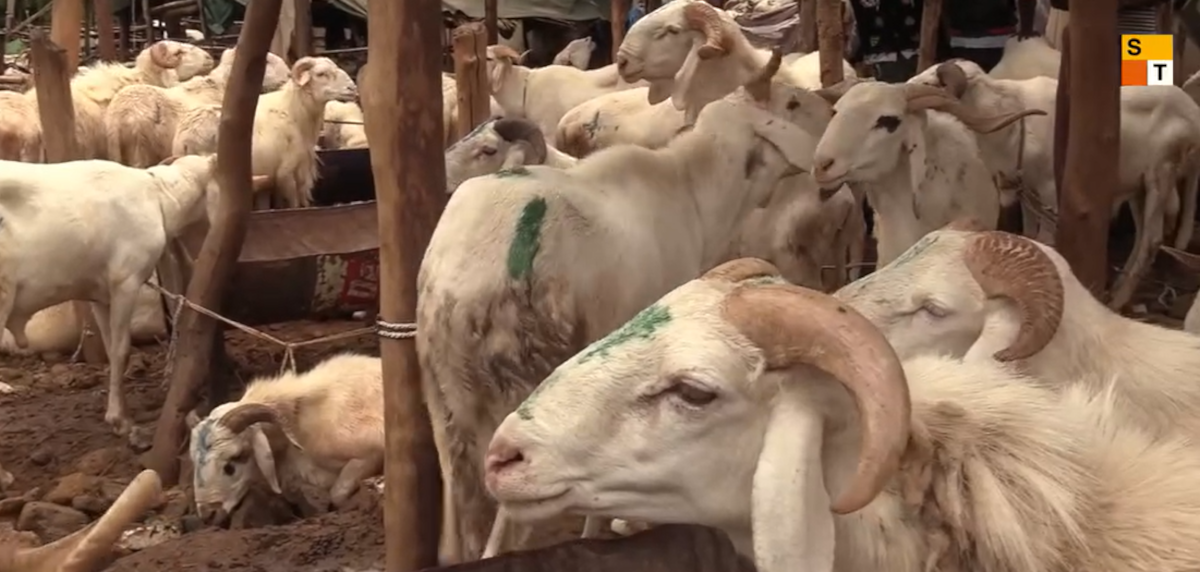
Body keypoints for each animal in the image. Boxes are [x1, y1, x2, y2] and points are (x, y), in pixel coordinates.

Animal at [0, 154, 270, 438]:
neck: (157, 198)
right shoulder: (126, 282)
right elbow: (122, 350)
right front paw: (121, 420)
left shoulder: (100, 294)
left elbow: (111, 349)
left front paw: (119, 413)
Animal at [171, 57, 358, 209]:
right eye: (321, 74)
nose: (352, 88)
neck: (295, 111)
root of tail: (184, 138)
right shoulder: (286, 172)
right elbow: (294, 205)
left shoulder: (268, 178)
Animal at [913, 59, 1200, 310]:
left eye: (933, 83)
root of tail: (1192, 112)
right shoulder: (1027, 191)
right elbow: (1029, 235)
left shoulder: (1050, 191)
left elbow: (1046, 240)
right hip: (1138, 190)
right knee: (1141, 237)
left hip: (1161, 175)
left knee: (1152, 239)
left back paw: (1117, 302)